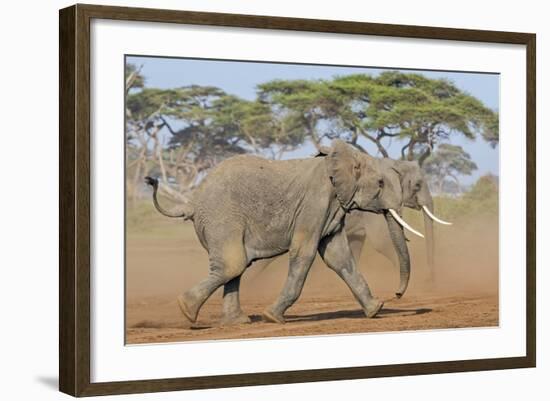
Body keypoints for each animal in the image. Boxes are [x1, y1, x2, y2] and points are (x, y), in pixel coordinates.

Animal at [144, 139, 420, 324]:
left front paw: (375, 310)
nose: (396, 294)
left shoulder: (331, 209)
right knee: (233, 264)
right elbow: (304, 252)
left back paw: (237, 322)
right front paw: (273, 317)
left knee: (236, 265)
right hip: (221, 218)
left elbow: (338, 257)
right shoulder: (315, 202)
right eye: (381, 183)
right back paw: (187, 311)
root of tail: (192, 201)